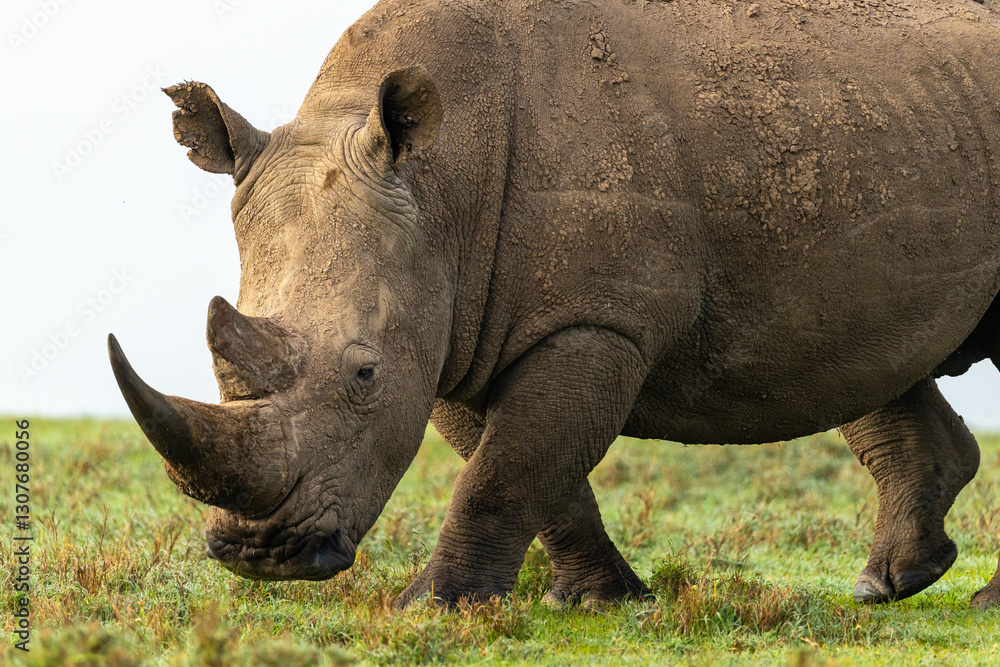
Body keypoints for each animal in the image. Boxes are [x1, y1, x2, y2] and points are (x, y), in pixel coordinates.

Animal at [109, 0, 1000, 608]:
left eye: (364, 374)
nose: (260, 556)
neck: (441, 183)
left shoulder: (593, 321)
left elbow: (507, 469)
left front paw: (428, 607)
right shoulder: (459, 326)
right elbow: (525, 467)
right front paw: (607, 599)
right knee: (864, 355)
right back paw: (891, 583)